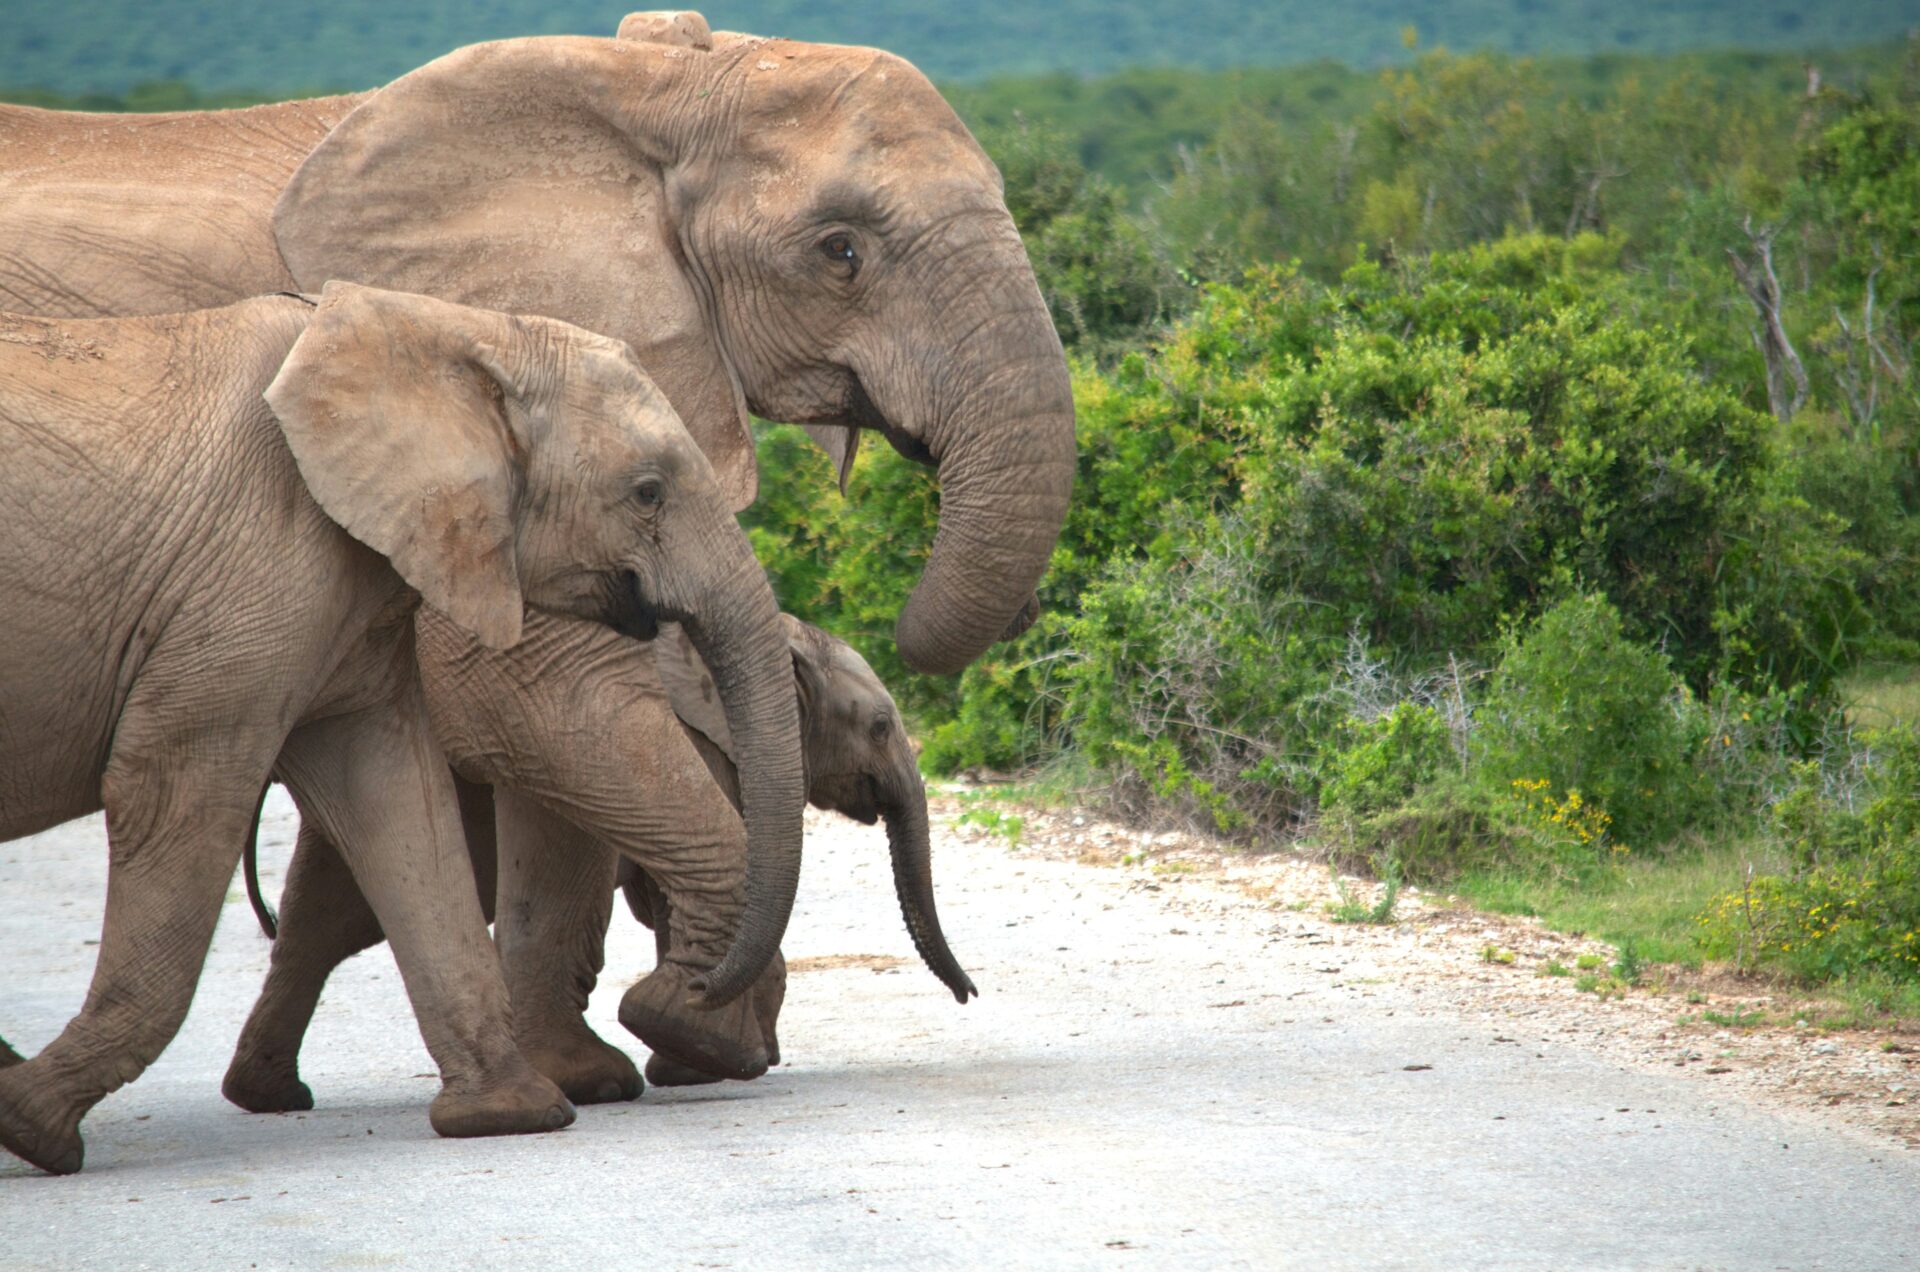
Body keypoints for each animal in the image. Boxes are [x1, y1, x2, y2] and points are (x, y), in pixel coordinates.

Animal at [0, 282, 803, 1175]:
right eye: (649, 491)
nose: (688, 988)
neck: (448, 330)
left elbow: (398, 807)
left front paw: (507, 1114)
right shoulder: (240, 586)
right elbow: (172, 793)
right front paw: (32, 1128)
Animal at [228, 614, 972, 1106]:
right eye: (879, 726)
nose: (969, 995)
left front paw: (693, 1057)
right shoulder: (702, 748)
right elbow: (671, 890)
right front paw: (715, 1058)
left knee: (323, 916)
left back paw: (267, 1094)